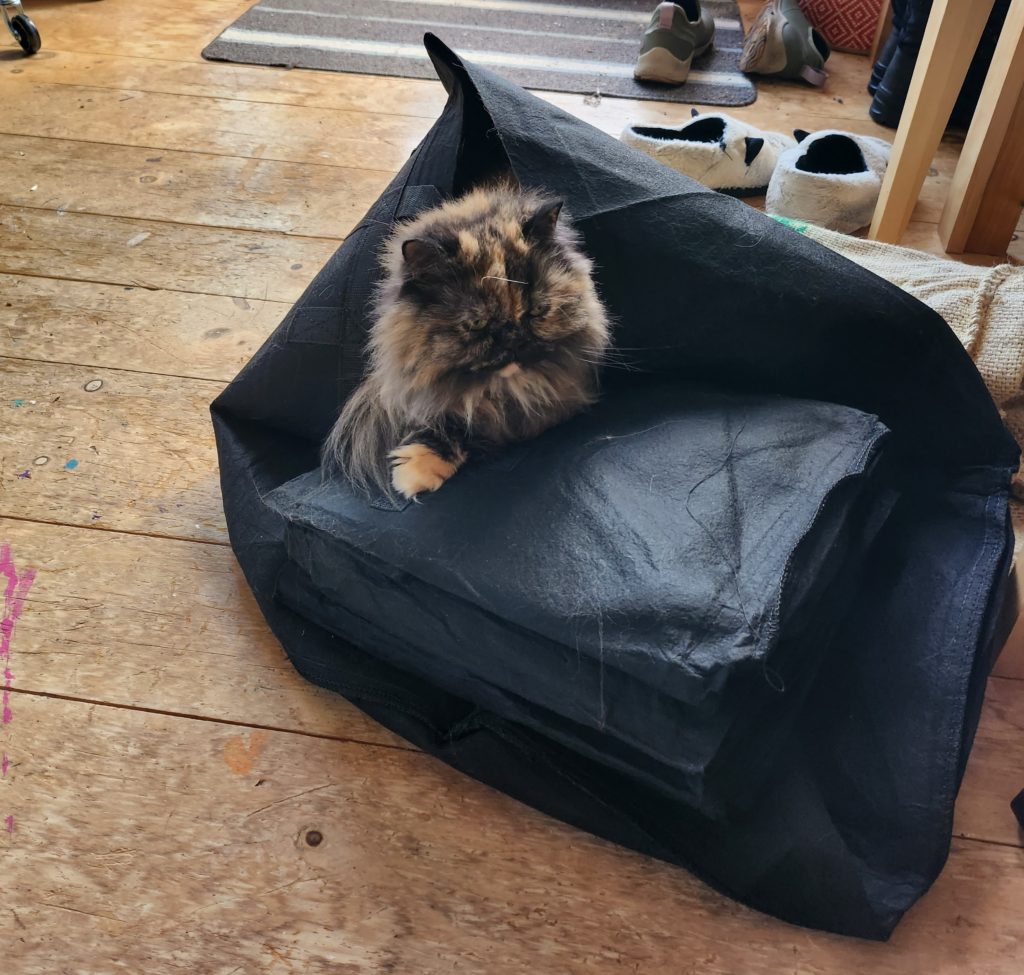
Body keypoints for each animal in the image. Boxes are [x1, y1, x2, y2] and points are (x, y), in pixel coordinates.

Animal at [323, 185, 606, 499]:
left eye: (536, 311)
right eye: (477, 324)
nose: (514, 338)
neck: (503, 390)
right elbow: (452, 422)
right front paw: (417, 470)